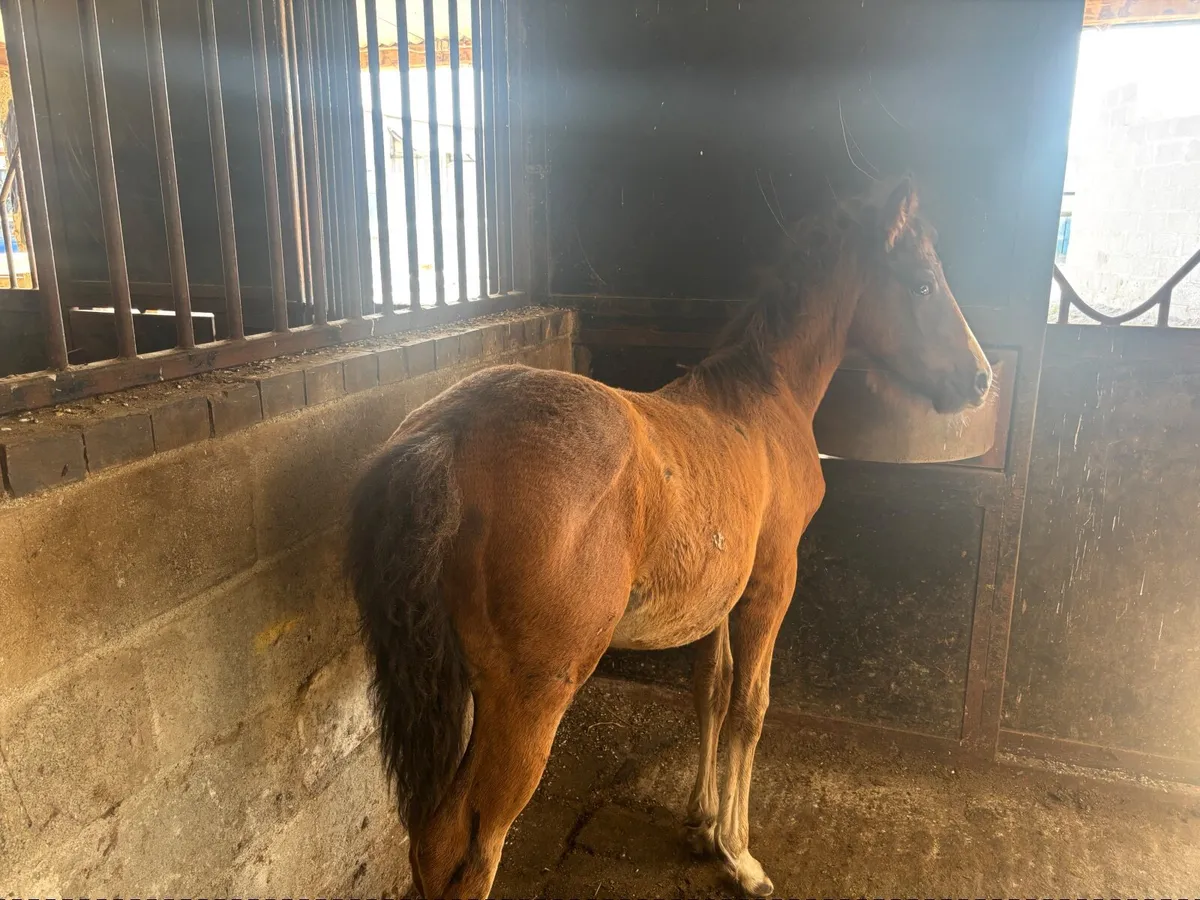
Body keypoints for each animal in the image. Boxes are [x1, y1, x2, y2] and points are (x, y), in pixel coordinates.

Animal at [345, 176, 990, 899]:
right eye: (924, 282)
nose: (979, 378)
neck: (762, 400)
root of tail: (447, 435)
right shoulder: (771, 584)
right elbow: (750, 707)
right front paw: (740, 854)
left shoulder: (718, 595)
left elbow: (710, 688)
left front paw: (701, 822)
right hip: (527, 701)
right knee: (472, 848)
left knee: (432, 842)